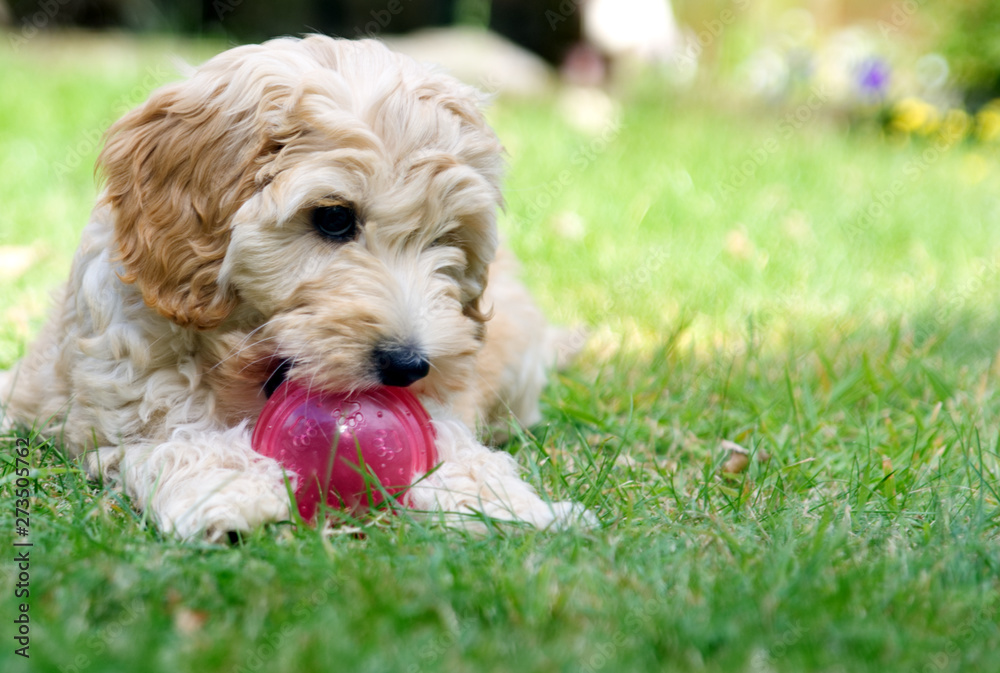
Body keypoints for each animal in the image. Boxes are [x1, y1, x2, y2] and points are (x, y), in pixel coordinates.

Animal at [0, 35, 588, 540]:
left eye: (445, 238)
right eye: (333, 218)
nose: (407, 366)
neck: (243, 353)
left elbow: (449, 440)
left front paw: (503, 502)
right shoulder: (116, 407)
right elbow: (176, 437)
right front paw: (230, 490)